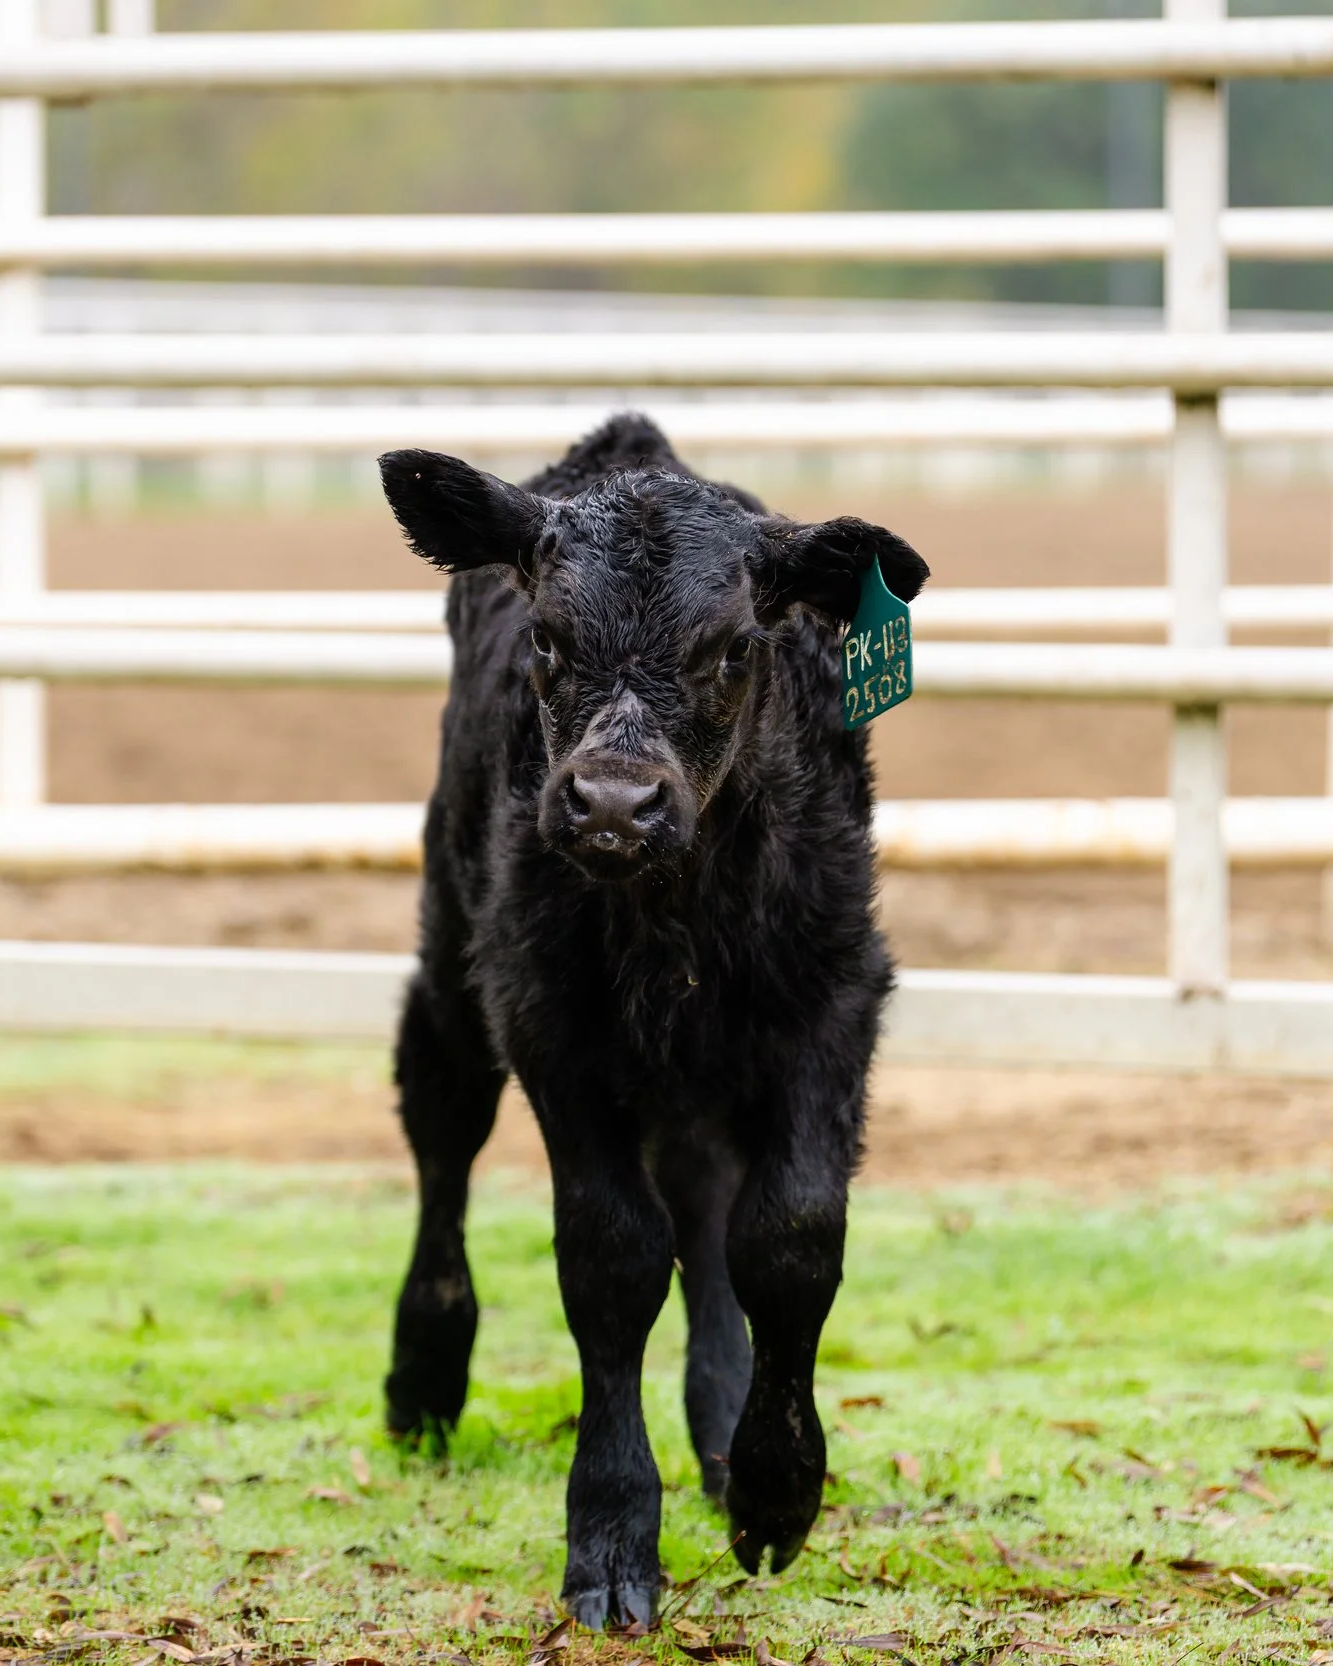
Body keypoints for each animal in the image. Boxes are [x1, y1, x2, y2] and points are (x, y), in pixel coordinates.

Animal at [378, 414, 928, 1630]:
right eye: (546, 638)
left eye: (732, 650)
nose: (615, 806)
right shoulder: (547, 1016)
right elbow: (612, 1257)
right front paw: (612, 1538)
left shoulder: (834, 997)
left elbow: (787, 1237)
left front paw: (773, 1488)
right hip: (452, 946)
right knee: (442, 1123)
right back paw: (423, 1377)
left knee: (708, 1201)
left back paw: (719, 1431)